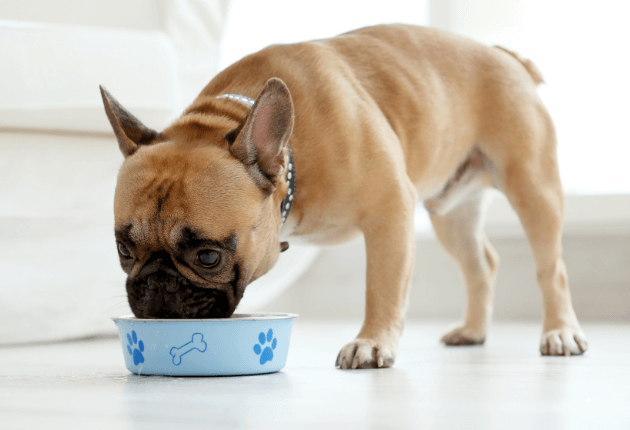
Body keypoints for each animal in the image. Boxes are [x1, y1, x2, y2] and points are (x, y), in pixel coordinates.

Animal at [101, 23, 592, 370]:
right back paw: (473, 331)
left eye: (208, 256)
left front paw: (371, 343)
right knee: (481, 265)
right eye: (124, 250)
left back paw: (561, 333)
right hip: (451, 215)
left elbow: (382, 287)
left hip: (534, 188)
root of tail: (506, 56)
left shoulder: (390, 211)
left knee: (552, 269)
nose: (156, 285)